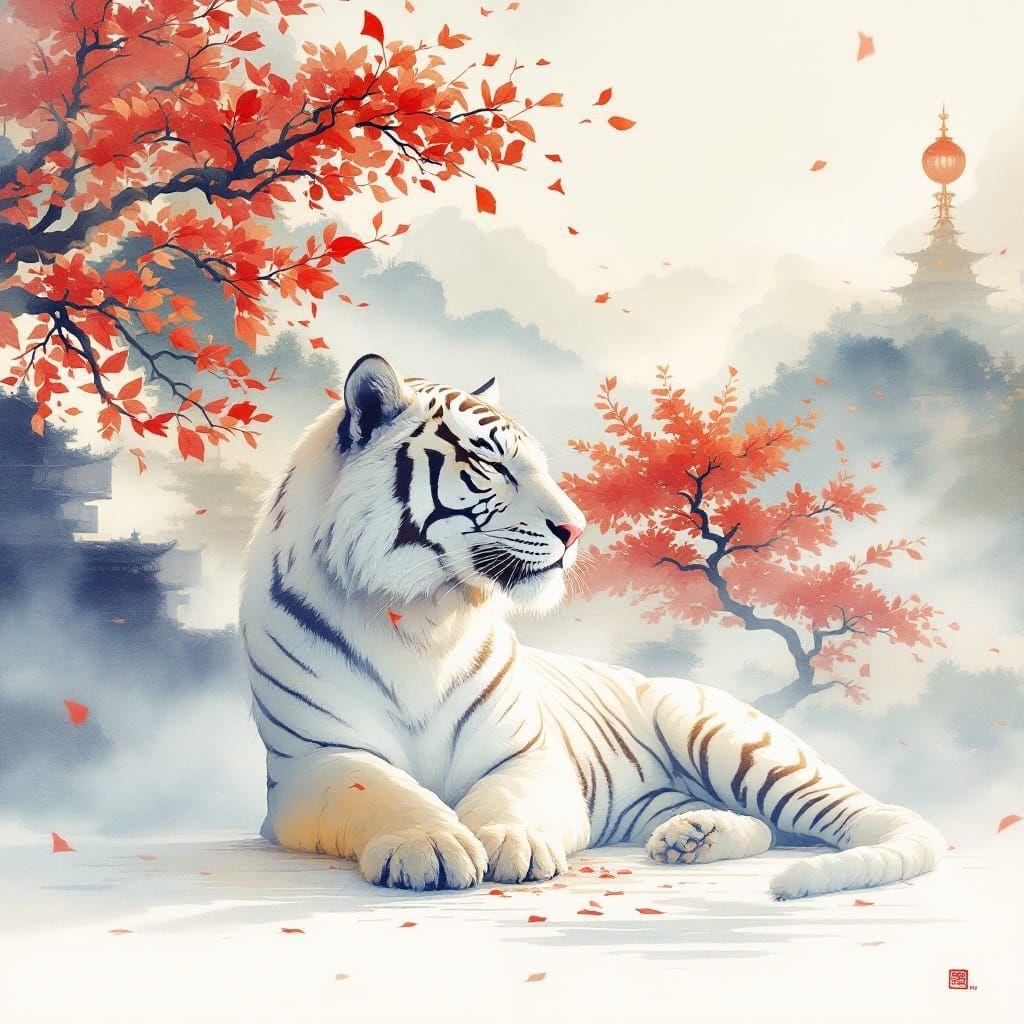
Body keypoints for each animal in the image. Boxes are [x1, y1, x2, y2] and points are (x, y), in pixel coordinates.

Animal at [239, 353, 945, 900]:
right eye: (493, 466)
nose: (576, 529)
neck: (422, 614)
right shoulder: (317, 759)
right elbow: (385, 790)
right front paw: (432, 844)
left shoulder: (528, 753)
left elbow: (510, 797)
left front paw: (512, 842)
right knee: (766, 827)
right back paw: (690, 839)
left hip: (734, 742)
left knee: (876, 817)